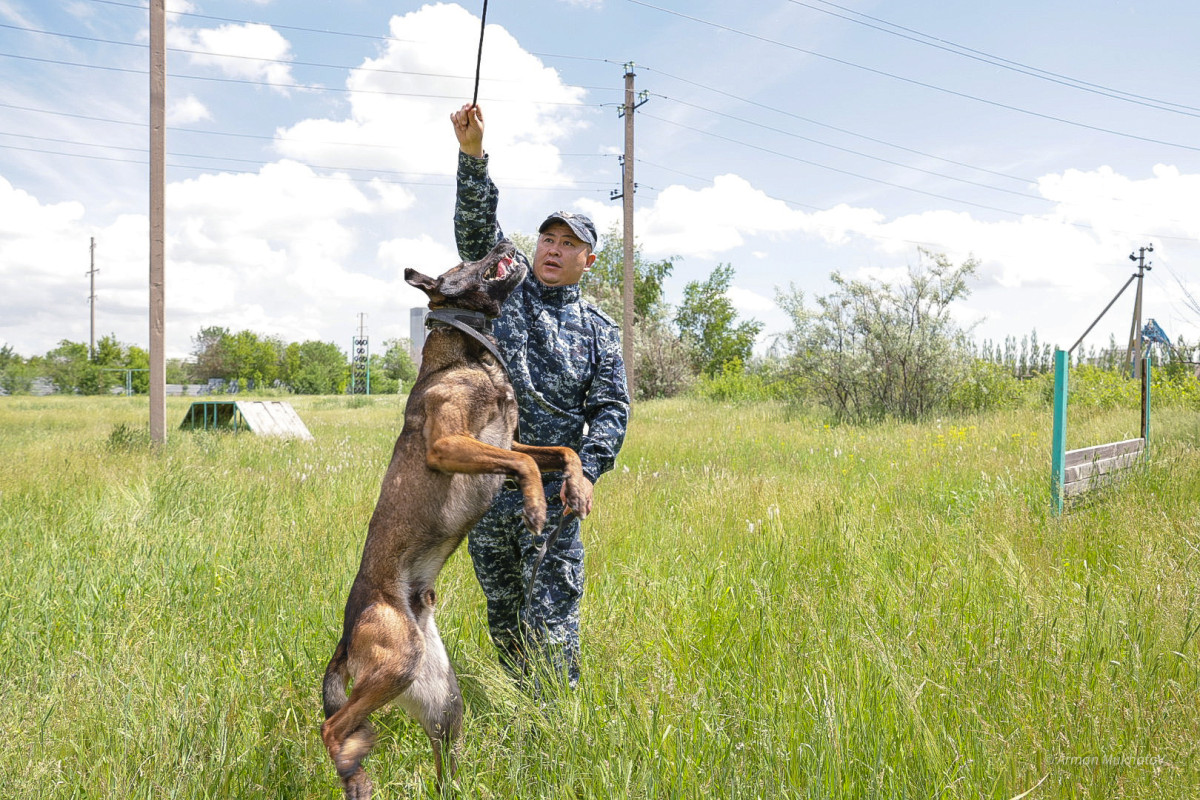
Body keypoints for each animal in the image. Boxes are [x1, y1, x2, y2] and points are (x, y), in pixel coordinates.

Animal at [319, 239, 590, 800]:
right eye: (467, 261)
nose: (504, 241)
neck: (470, 355)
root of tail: (346, 635)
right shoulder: (450, 445)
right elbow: (530, 466)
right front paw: (536, 506)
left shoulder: (508, 442)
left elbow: (562, 450)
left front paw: (575, 489)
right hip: (397, 661)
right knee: (333, 728)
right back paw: (353, 767)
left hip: (444, 702)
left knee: (433, 751)